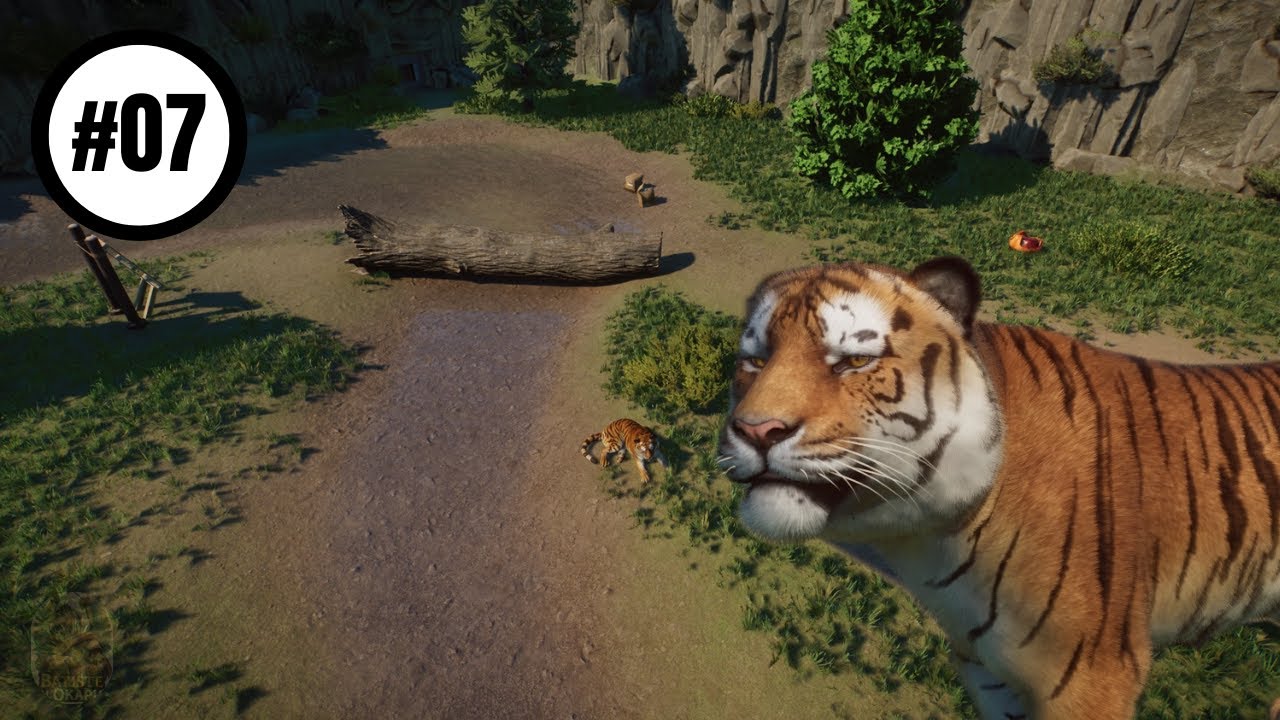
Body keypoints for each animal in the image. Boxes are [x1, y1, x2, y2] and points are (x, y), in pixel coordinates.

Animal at [718, 255, 1280, 719]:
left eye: (855, 361)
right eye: (755, 360)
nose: (756, 430)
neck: (931, 547)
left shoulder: (1093, 678)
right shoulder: (989, 674)